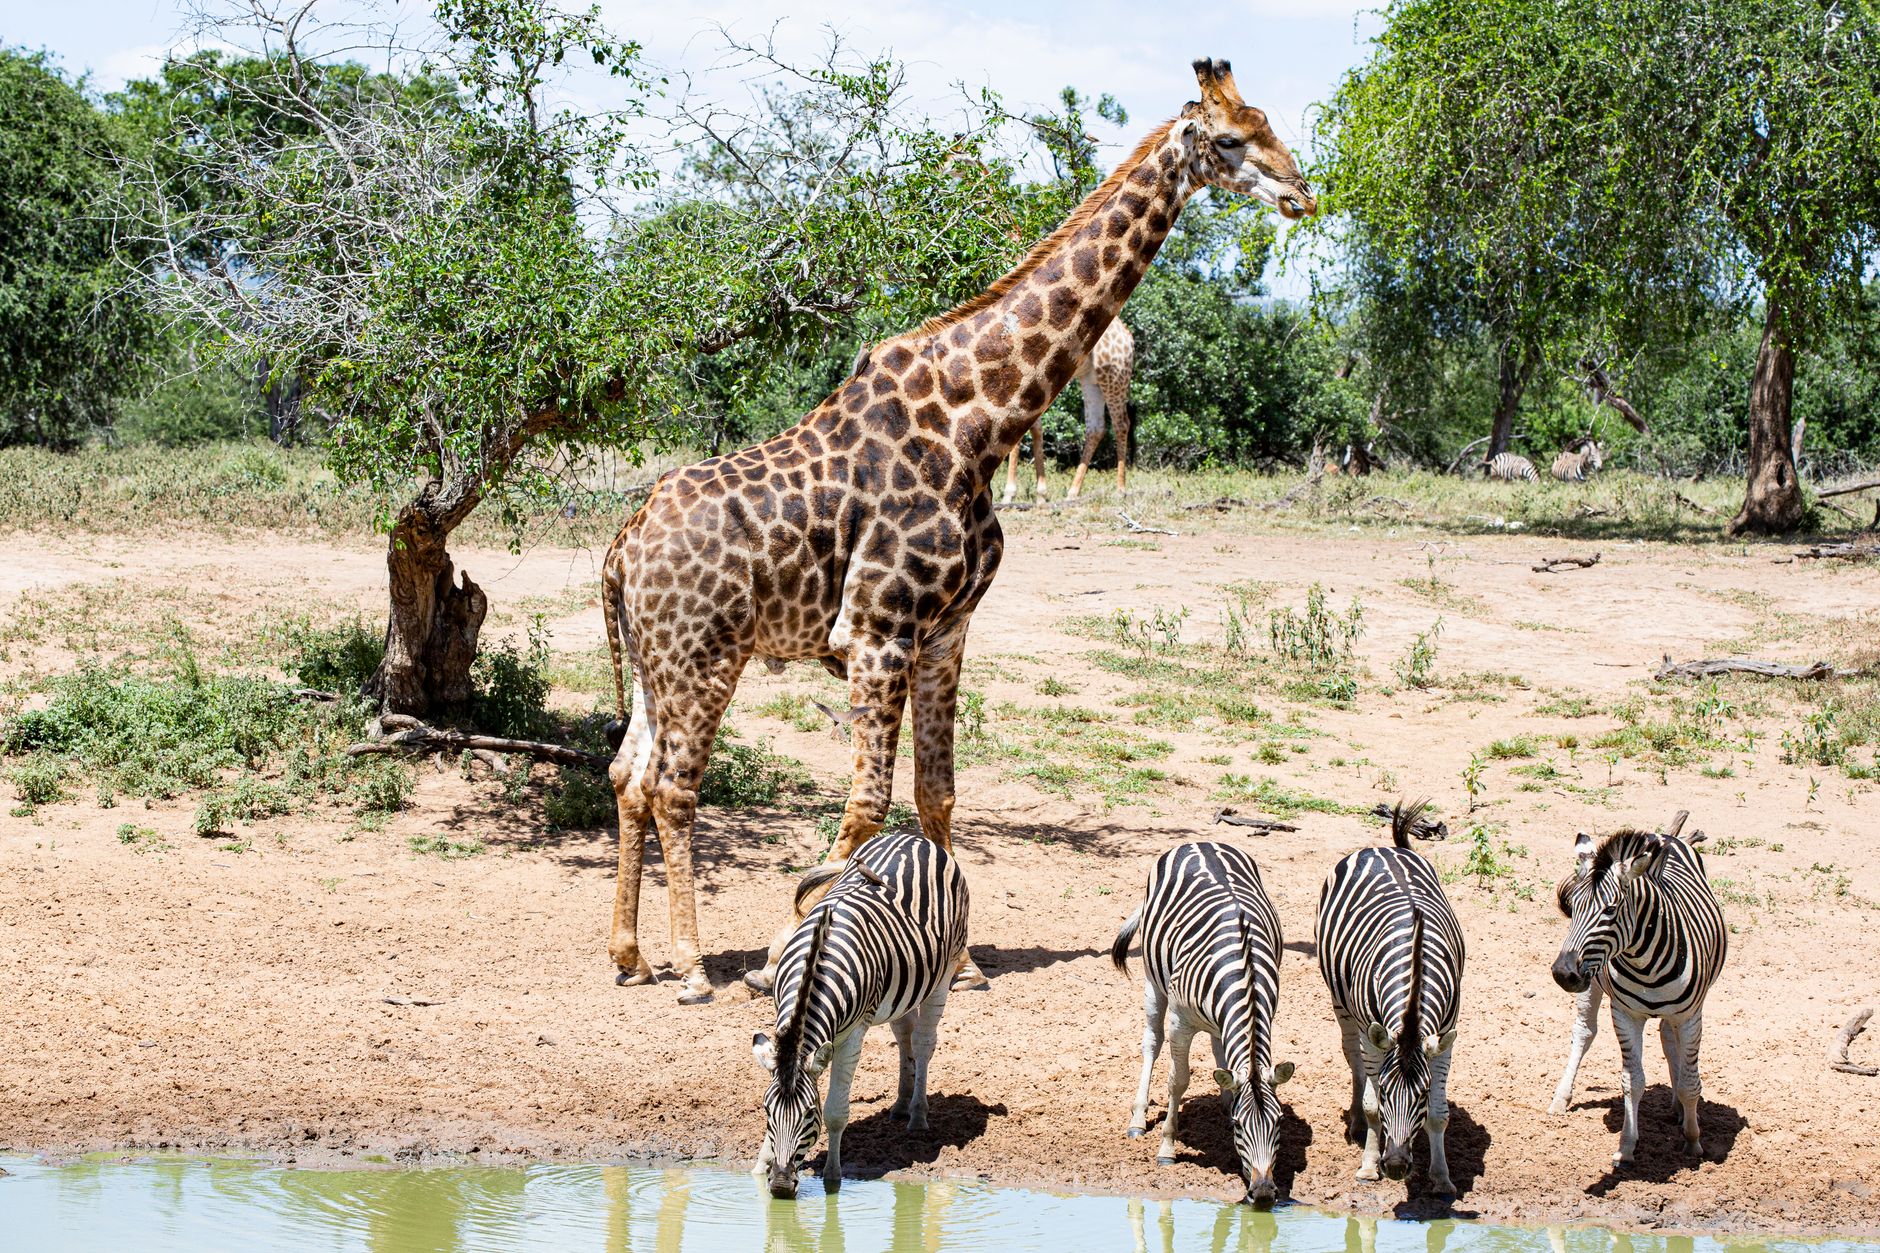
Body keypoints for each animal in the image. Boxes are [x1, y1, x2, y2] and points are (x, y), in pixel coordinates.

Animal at [751, 830, 969, 1199]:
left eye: (809, 1114)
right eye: (768, 1111)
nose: (780, 1186)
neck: (815, 967)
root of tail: (913, 836)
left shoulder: (852, 1036)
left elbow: (837, 1112)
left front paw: (832, 1177)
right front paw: (759, 1168)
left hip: (946, 969)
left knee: (924, 1041)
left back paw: (917, 1115)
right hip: (902, 986)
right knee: (904, 1034)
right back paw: (900, 1104)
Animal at [1001, 316, 1137, 503]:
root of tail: (1128, 337)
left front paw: (1009, 494)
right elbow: (1035, 428)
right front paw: (1041, 494)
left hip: (1113, 375)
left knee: (1121, 423)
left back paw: (1120, 490)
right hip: (1091, 380)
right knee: (1096, 428)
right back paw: (1072, 492)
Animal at [1111, 842, 1294, 1207]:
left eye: (1280, 1122)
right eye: (1239, 1126)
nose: (1264, 1194)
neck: (1244, 970)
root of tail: (1198, 843)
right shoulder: (1180, 1022)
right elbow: (1178, 1081)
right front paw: (1167, 1148)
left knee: (1220, 1047)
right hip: (1153, 981)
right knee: (1151, 1042)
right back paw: (1138, 1118)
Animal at [1315, 800, 1465, 1194]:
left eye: (1423, 1095)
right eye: (1385, 1092)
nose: (1396, 1166)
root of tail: (1385, 849)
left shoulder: (1444, 1037)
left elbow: (1440, 1114)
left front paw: (1442, 1178)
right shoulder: (1374, 1035)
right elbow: (1371, 1106)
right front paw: (1368, 1166)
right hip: (1342, 1005)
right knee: (1351, 1055)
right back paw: (1355, 1121)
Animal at [1550, 827, 1726, 1164]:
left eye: (1610, 909)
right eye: (1574, 908)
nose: (1563, 974)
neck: (1646, 966)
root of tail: (1664, 834)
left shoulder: (1690, 1015)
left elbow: (1690, 1083)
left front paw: (1693, 1140)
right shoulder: (1625, 1014)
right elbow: (1632, 1081)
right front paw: (1626, 1146)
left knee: (1669, 1038)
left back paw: (1679, 1108)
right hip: (1592, 984)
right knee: (1584, 1032)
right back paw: (1561, 1098)